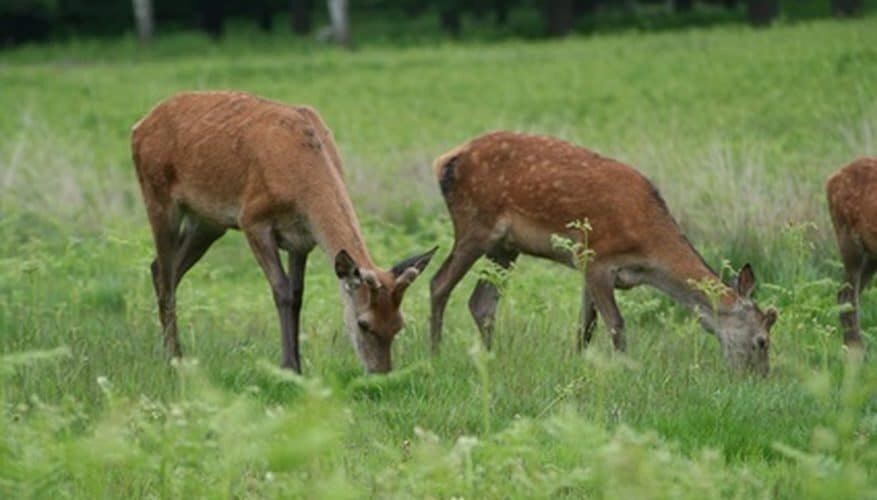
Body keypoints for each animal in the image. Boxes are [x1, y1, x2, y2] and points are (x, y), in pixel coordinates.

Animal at [131, 91, 436, 374]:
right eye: (364, 324)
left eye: (399, 325)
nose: (381, 373)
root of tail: (138, 126)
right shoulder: (252, 219)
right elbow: (282, 291)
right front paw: (289, 366)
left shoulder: (301, 240)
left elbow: (298, 294)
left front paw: (298, 364)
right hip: (157, 195)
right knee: (166, 274)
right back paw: (174, 357)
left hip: (208, 221)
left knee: (161, 268)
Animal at [430, 131, 778, 374]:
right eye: (761, 341)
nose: (759, 378)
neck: (648, 256)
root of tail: (443, 160)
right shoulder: (598, 259)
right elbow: (616, 325)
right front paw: (626, 371)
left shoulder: (586, 265)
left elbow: (585, 325)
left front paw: (579, 363)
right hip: (475, 223)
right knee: (439, 283)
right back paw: (434, 352)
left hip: (504, 246)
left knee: (482, 302)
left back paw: (490, 357)